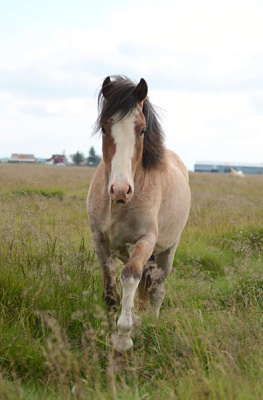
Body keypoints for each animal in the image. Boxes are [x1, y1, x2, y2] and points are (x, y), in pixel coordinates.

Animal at [87, 75, 191, 354]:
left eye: (142, 130)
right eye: (104, 128)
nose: (120, 189)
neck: (118, 206)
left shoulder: (144, 242)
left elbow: (130, 277)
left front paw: (124, 336)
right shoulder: (100, 242)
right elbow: (111, 292)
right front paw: (111, 332)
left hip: (167, 251)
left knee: (156, 290)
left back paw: (151, 324)